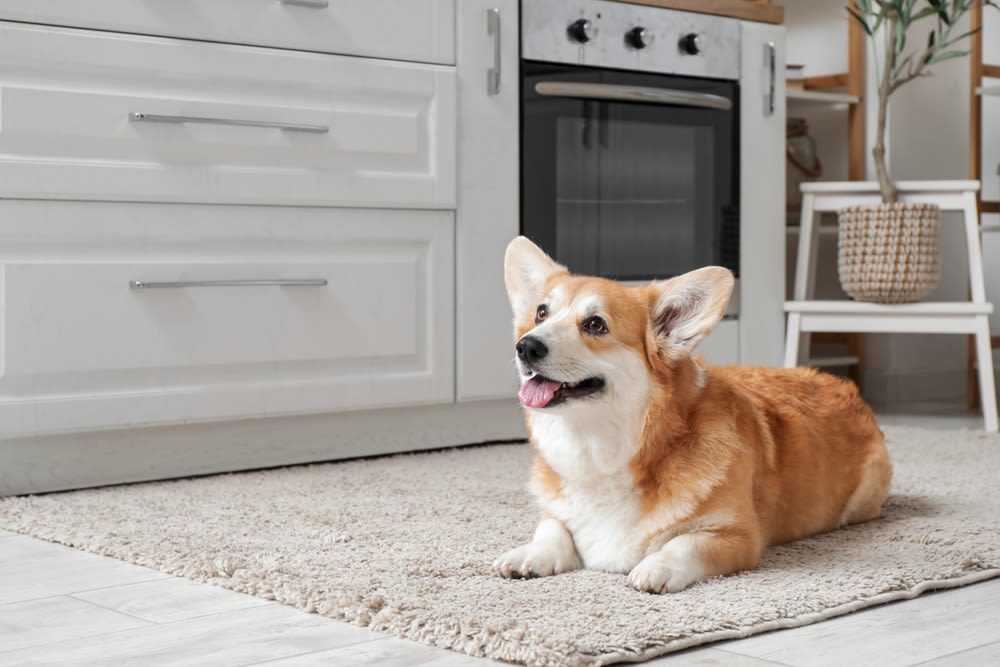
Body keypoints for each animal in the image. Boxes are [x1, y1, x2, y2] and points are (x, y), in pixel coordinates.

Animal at [492, 237, 892, 592]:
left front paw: (655, 567)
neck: (603, 451)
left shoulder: (737, 536)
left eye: (595, 324)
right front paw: (529, 555)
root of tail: (844, 387)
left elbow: (683, 544)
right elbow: (552, 529)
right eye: (541, 313)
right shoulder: (556, 511)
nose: (526, 346)